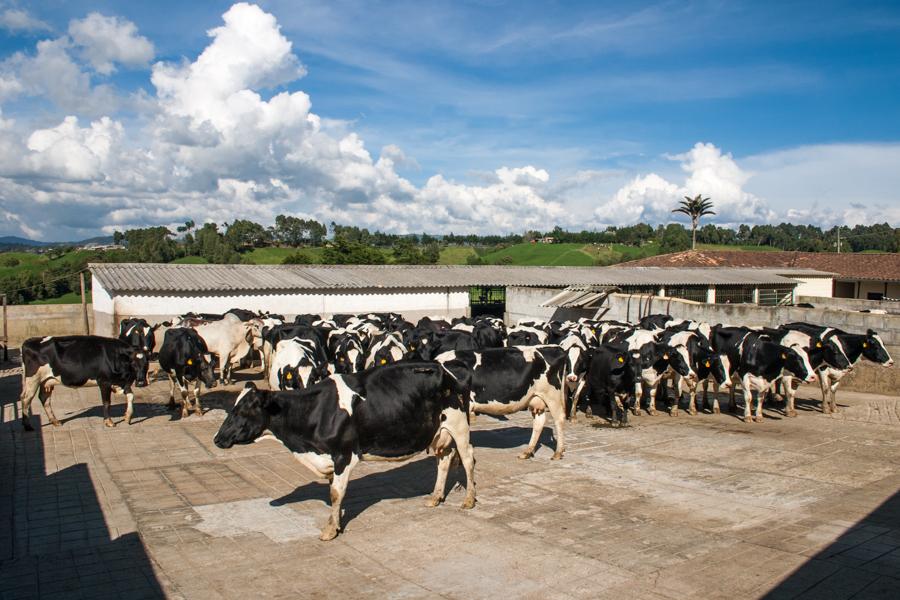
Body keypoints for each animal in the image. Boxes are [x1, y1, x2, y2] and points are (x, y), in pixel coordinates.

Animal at [19, 336, 149, 428]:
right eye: (133, 363)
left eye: (146, 364)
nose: (141, 382)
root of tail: (29, 341)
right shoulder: (104, 382)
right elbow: (107, 402)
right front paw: (109, 422)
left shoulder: (122, 382)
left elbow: (131, 396)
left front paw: (127, 417)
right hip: (32, 379)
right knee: (26, 399)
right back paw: (27, 425)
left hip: (47, 380)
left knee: (44, 398)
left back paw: (55, 421)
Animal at [213, 364, 478, 540]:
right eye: (232, 408)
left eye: (242, 410)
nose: (217, 439)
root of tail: (448, 369)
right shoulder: (328, 457)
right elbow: (334, 493)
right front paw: (335, 522)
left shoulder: (344, 455)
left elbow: (335, 493)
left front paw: (331, 530)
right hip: (439, 432)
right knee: (444, 460)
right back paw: (435, 497)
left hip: (459, 425)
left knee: (467, 458)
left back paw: (469, 500)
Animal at [434, 346, 568, 460]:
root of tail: (555, 348)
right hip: (536, 398)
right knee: (539, 422)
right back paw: (527, 452)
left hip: (552, 395)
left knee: (559, 419)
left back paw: (558, 452)